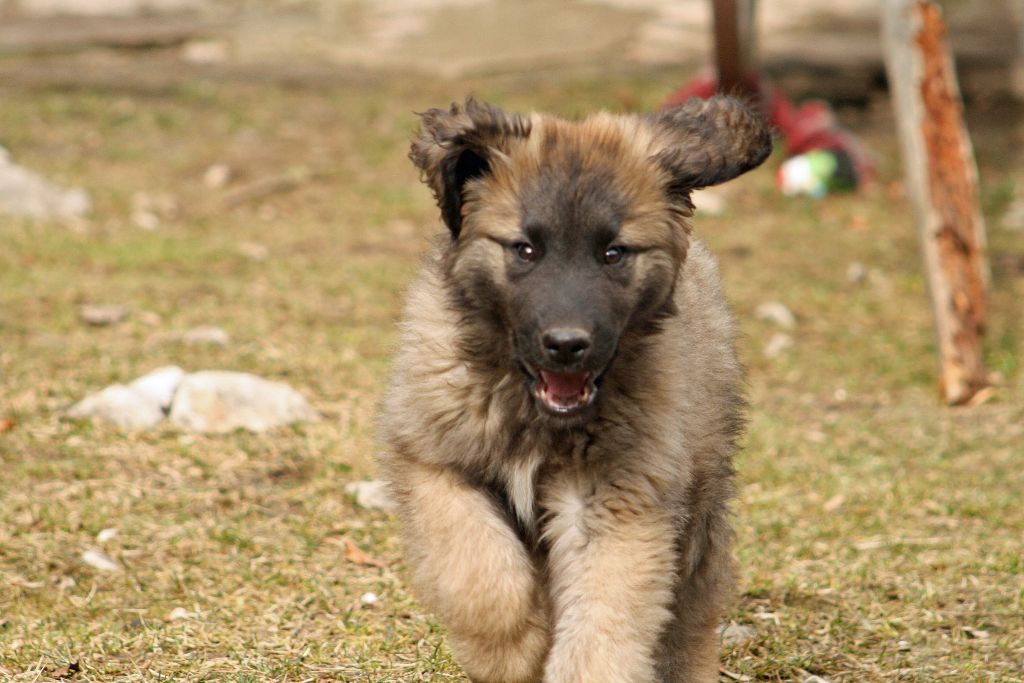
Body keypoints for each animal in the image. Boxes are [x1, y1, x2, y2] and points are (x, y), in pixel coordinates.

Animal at [379, 96, 771, 683]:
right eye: (525, 249)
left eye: (613, 253)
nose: (567, 345)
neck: (530, 410)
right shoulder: (432, 461)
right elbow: (478, 574)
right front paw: (510, 650)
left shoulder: (618, 502)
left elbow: (602, 623)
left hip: (699, 497)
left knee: (691, 612)